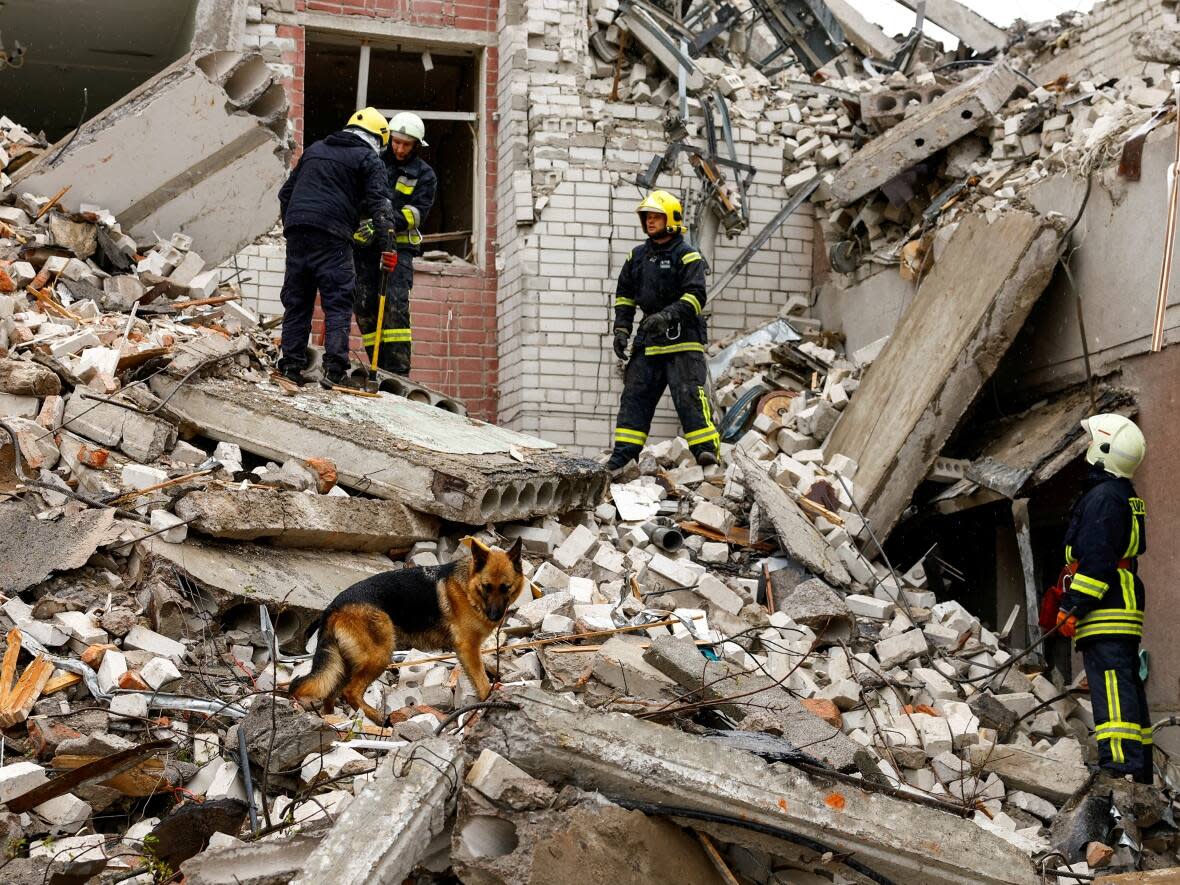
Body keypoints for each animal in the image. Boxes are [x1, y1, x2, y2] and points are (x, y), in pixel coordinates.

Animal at [287, 538, 523, 722]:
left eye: (506, 588)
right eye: (486, 587)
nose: (495, 616)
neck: (468, 588)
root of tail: (334, 606)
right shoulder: (468, 649)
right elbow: (482, 681)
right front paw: (489, 701)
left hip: (344, 664)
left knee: (329, 692)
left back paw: (332, 719)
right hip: (379, 656)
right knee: (350, 692)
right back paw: (378, 719)